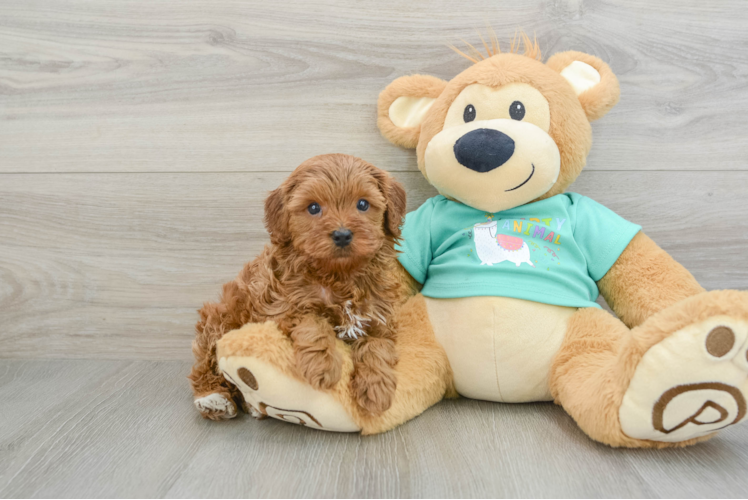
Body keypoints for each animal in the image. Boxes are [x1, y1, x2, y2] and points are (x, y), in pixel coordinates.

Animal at [188, 154, 410, 420]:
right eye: (313, 208)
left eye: (363, 204)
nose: (342, 234)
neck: (340, 275)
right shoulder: (281, 307)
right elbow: (312, 323)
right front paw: (322, 366)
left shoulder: (379, 316)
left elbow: (377, 347)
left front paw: (376, 389)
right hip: (221, 319)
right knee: (205, 360)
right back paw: (212, 398)